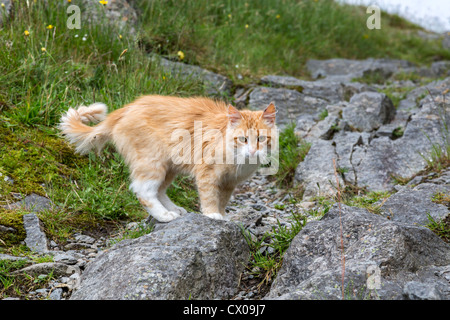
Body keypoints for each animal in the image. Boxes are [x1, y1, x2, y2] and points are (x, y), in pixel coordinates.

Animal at [59, 95, 278, 222]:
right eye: (243, 139)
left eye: (261, 139)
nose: (252, 151)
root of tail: (125, 109)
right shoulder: (207, 173)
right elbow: (209, 196)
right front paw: (212, 214)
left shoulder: (229, 182)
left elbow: (223, 200)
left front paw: (223, 215)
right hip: (153, 162)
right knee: (143, 191)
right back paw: (165, 216)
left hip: (169, 166)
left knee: (159, 191)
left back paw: (174, 210)